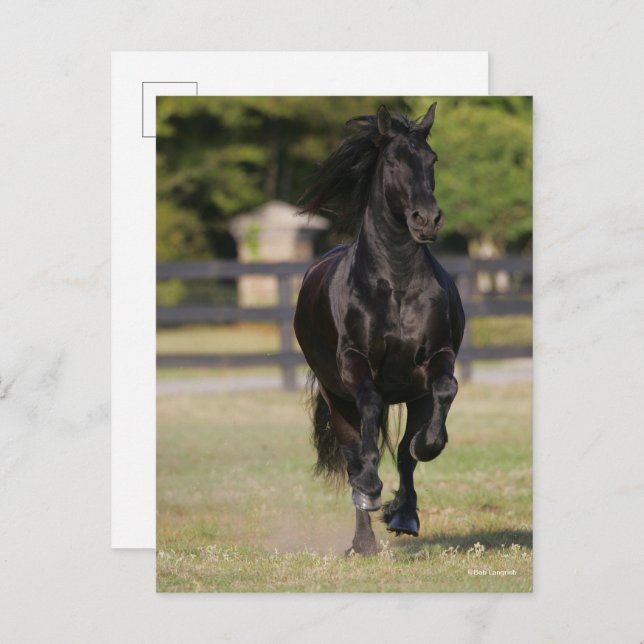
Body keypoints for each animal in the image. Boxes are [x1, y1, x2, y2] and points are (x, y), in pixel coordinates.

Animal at [294, 103, 465, 555]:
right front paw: (371, 488)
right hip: (336, 398)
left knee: (405, 454)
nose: (427, 219)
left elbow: (442, 397)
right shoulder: (355, 365)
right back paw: (363, 535)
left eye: (432, 160)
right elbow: (369, 413)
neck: (396, 284)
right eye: (392, 162)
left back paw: (404, 515)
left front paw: (428, 448)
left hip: (413, 394)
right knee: (353, 454)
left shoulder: (436, 360)